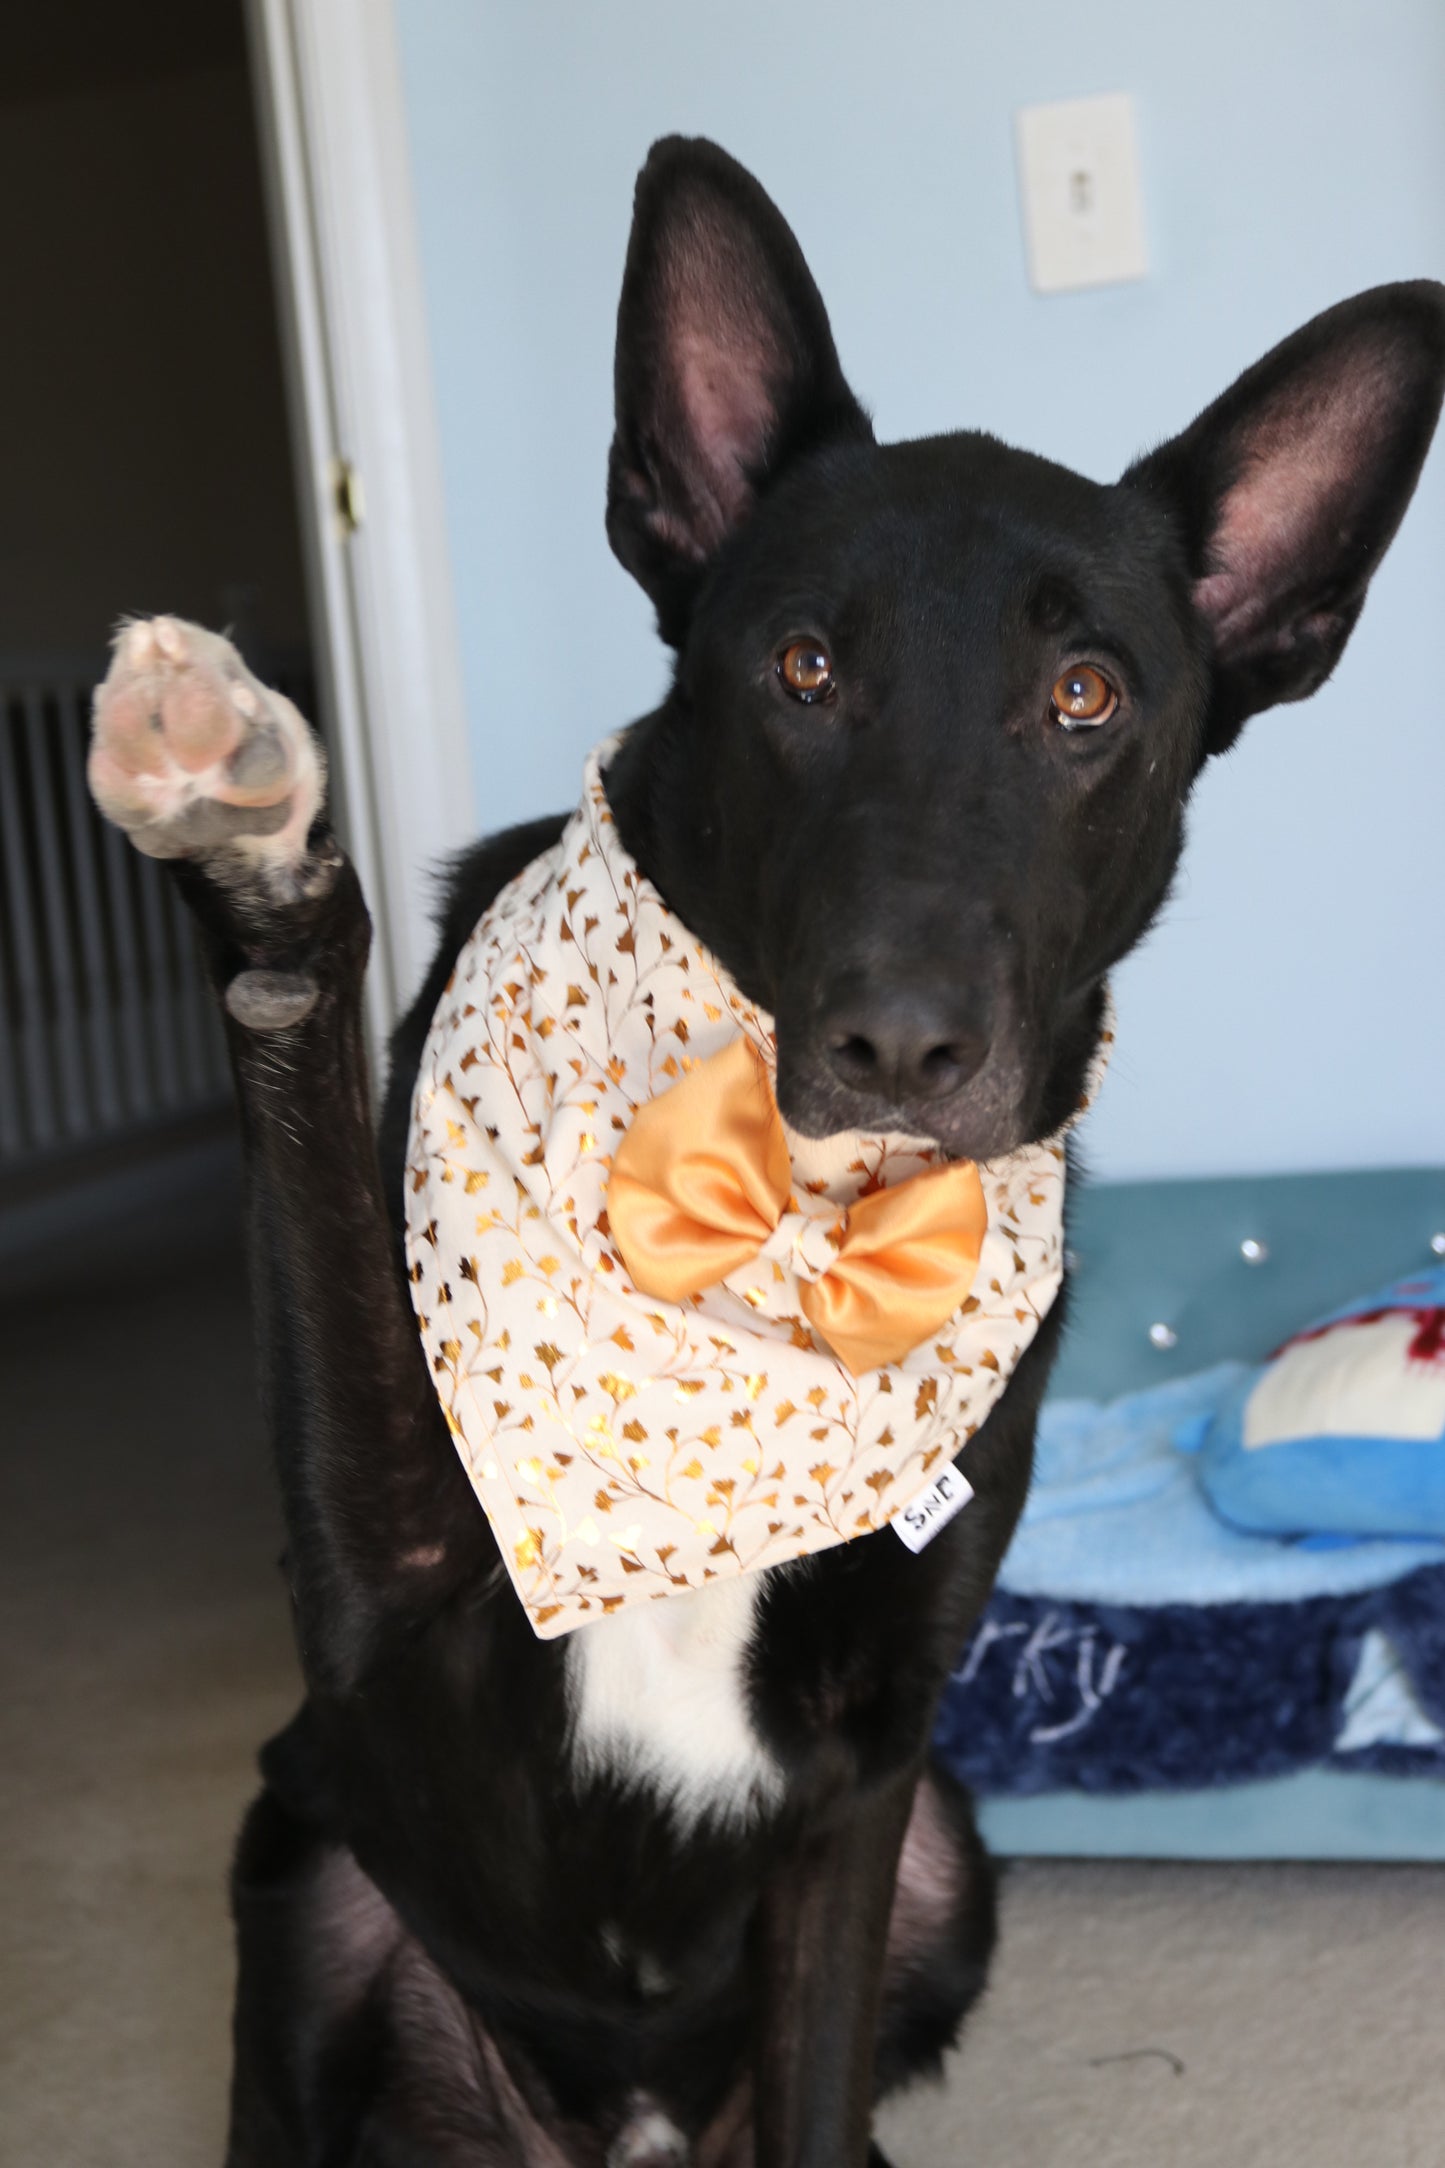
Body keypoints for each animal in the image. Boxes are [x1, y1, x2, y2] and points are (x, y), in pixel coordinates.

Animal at [90, 139, 1445, 2168]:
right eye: (802, 668)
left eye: (1089, 697)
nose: (902, 1043)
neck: (766, 1251)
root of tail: (628, 2129)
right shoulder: (378, 1607)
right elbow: (308, 1129)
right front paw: (253, 835)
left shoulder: (869, 1774)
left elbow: (814, 2075)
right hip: (303, 1852)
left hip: (956, 1854)